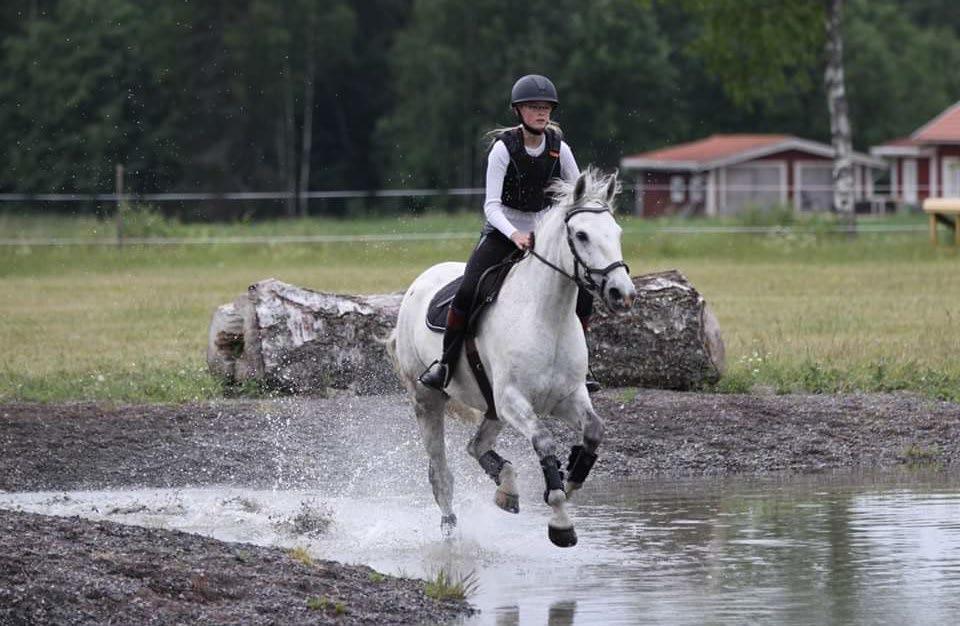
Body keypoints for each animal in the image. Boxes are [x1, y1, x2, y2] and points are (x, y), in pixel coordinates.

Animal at [386, 167, 632, 544]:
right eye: (582, 234)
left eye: (617, 232)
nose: (623, 293)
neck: (547, 316)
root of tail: (418, 283)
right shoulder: (514, 399)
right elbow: (544, 442)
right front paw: (560, 520)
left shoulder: (567, 397)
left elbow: (593, 432)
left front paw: (570, 480)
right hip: (429, 400)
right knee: (441, 473)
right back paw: (451, 527)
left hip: (492, 409)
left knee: (475, 446)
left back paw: (507, 489)